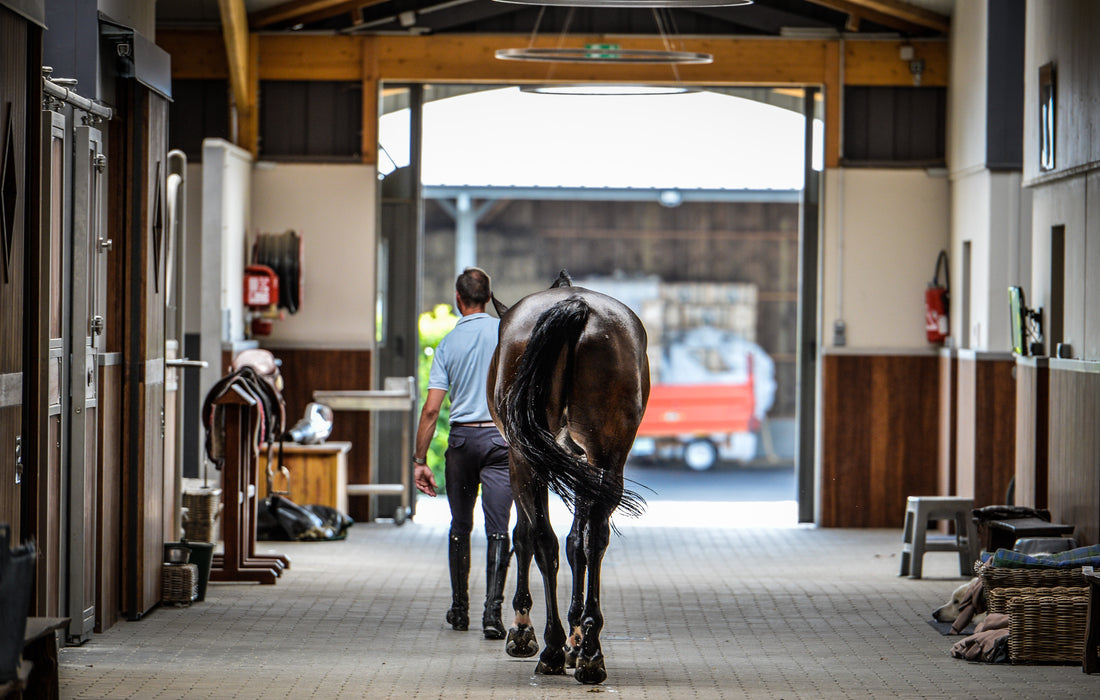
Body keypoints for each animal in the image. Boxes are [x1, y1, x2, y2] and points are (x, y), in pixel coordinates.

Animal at [486, 271, 646, 682]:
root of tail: (578, 307)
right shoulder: (580, 461)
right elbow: (578, 542)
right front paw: (577, 638)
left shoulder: (520, 458)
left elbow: (523, 536)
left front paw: (523, 631)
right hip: (607, 455)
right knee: (594, 540)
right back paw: (589, 651)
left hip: (527, 457)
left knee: (543, 540)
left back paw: (554, 648)